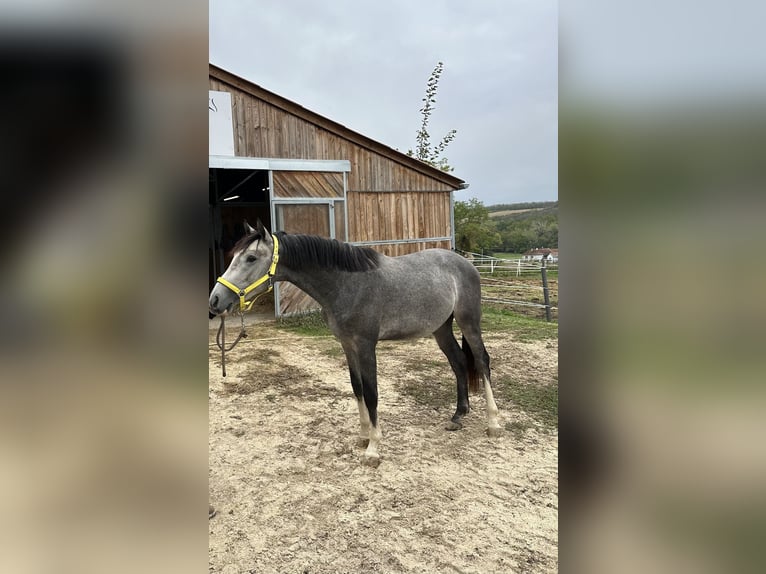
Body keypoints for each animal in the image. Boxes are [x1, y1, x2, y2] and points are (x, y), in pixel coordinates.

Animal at [209, 220, 501, 465]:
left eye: (251, 258)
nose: (215, 301)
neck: (346, 283)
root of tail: (465, 263)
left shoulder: (365, 345)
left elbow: (371, 393)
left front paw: (374, 448)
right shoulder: (347, 344)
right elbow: (357, 388)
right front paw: (363, 435)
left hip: (469, 322)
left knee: (482, 361)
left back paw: (493, 423)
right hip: (441, 328)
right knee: (458, 361)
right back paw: (458, 416)